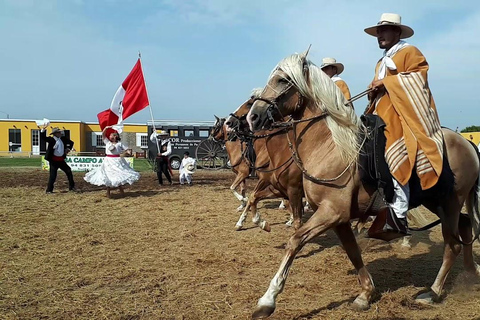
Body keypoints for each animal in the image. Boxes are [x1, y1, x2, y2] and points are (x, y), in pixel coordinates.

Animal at [246, 52, 478, 318]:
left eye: (283, 80)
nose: (253, 117)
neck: (331, 147)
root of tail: (467, 142)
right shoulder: (340, 219)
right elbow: (353, 251)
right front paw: (366, 294)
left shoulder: (331, 213)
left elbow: (295, 240)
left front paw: (267, 300)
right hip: (437, 202)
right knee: (466, 226)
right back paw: (471, 273)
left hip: (450, 203)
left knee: (453, 245)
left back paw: (433, 292)